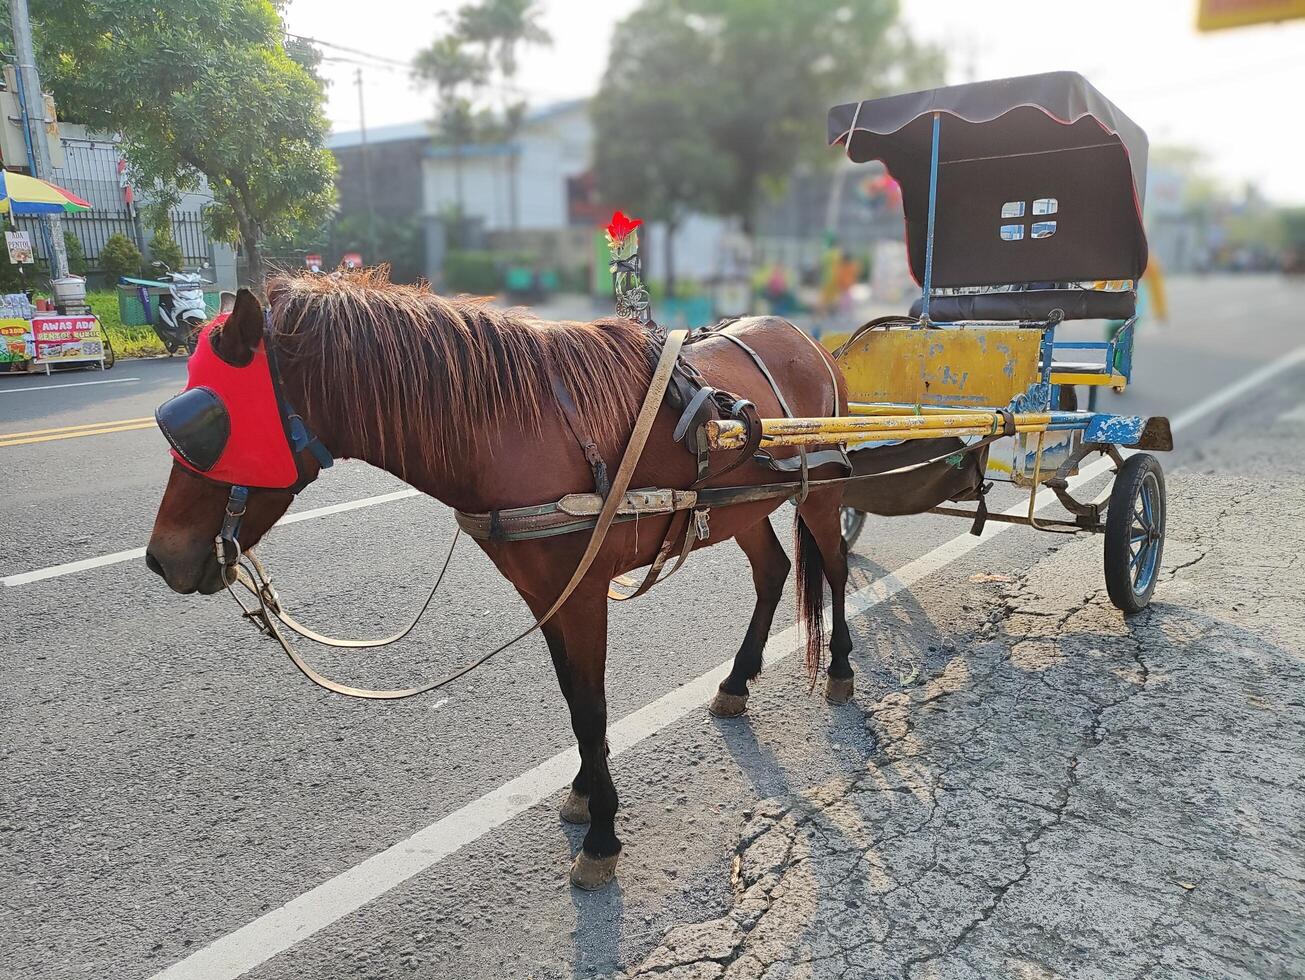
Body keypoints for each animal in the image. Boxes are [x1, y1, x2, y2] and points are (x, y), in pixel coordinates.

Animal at [148, 272, 850, 892]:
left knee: (836, 572)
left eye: (208, 425)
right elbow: (574, 702)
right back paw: (737, 681)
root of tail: (807, 341)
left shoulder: (582, 594)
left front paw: (602, 836)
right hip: (742, 508)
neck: (519, 429)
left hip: (823, 489)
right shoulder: (548, 597)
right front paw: (587, 789)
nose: (161, 558)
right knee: (773, 572)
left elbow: (592, 708)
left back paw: (841, 669)